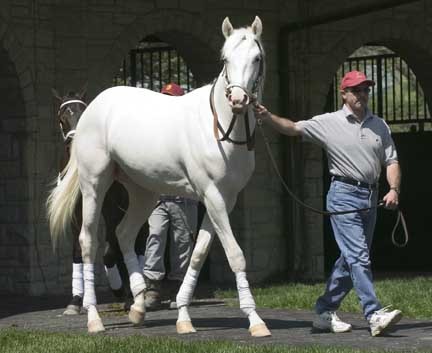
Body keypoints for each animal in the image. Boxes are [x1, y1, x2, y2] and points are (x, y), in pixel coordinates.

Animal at [51, 86, 146, 312]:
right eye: (62, 118)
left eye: (84, 112)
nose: (76, 142)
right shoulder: (77, 214)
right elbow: (78, 251)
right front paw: (77, 300)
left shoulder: (112, 211)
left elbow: (110, 252)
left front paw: (120, 290)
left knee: (138, 243)